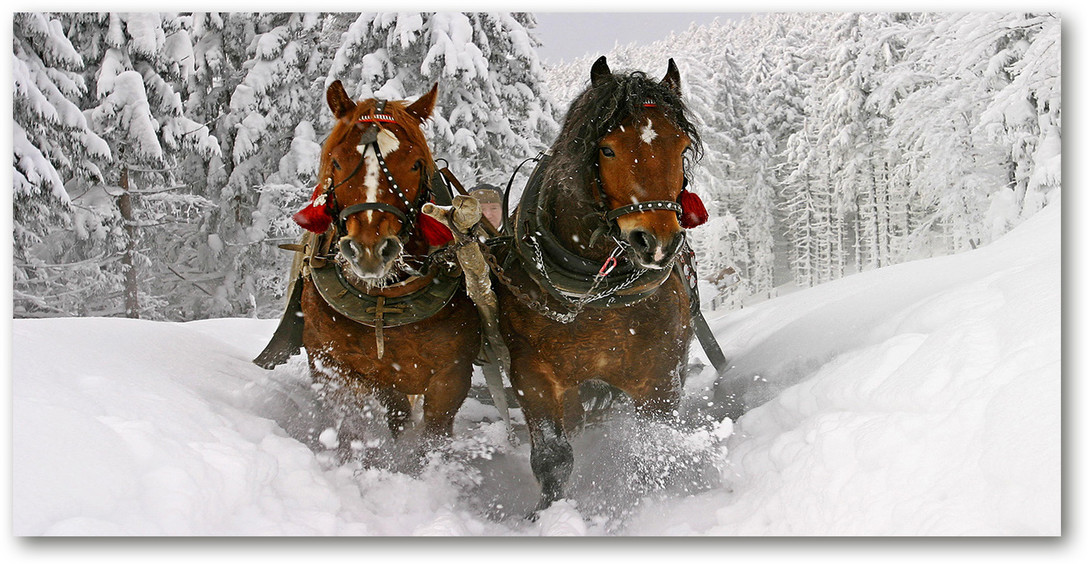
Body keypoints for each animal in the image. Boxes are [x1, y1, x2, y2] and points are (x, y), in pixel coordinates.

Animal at [289, 80, 480, 459]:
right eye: (336, 160)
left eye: (416, 164)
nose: (369, 249)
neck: (386, 300)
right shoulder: (345, 367)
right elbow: (379, 420)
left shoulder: (452, 373)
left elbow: (435, 433)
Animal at [493, 56, 705, 513]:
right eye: (607, 149)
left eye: (681, 148)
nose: (656, 242)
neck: (594, 295)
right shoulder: (531, 375)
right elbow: (553, 458)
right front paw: (546, 515)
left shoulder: (659, 376)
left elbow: (653, 448)